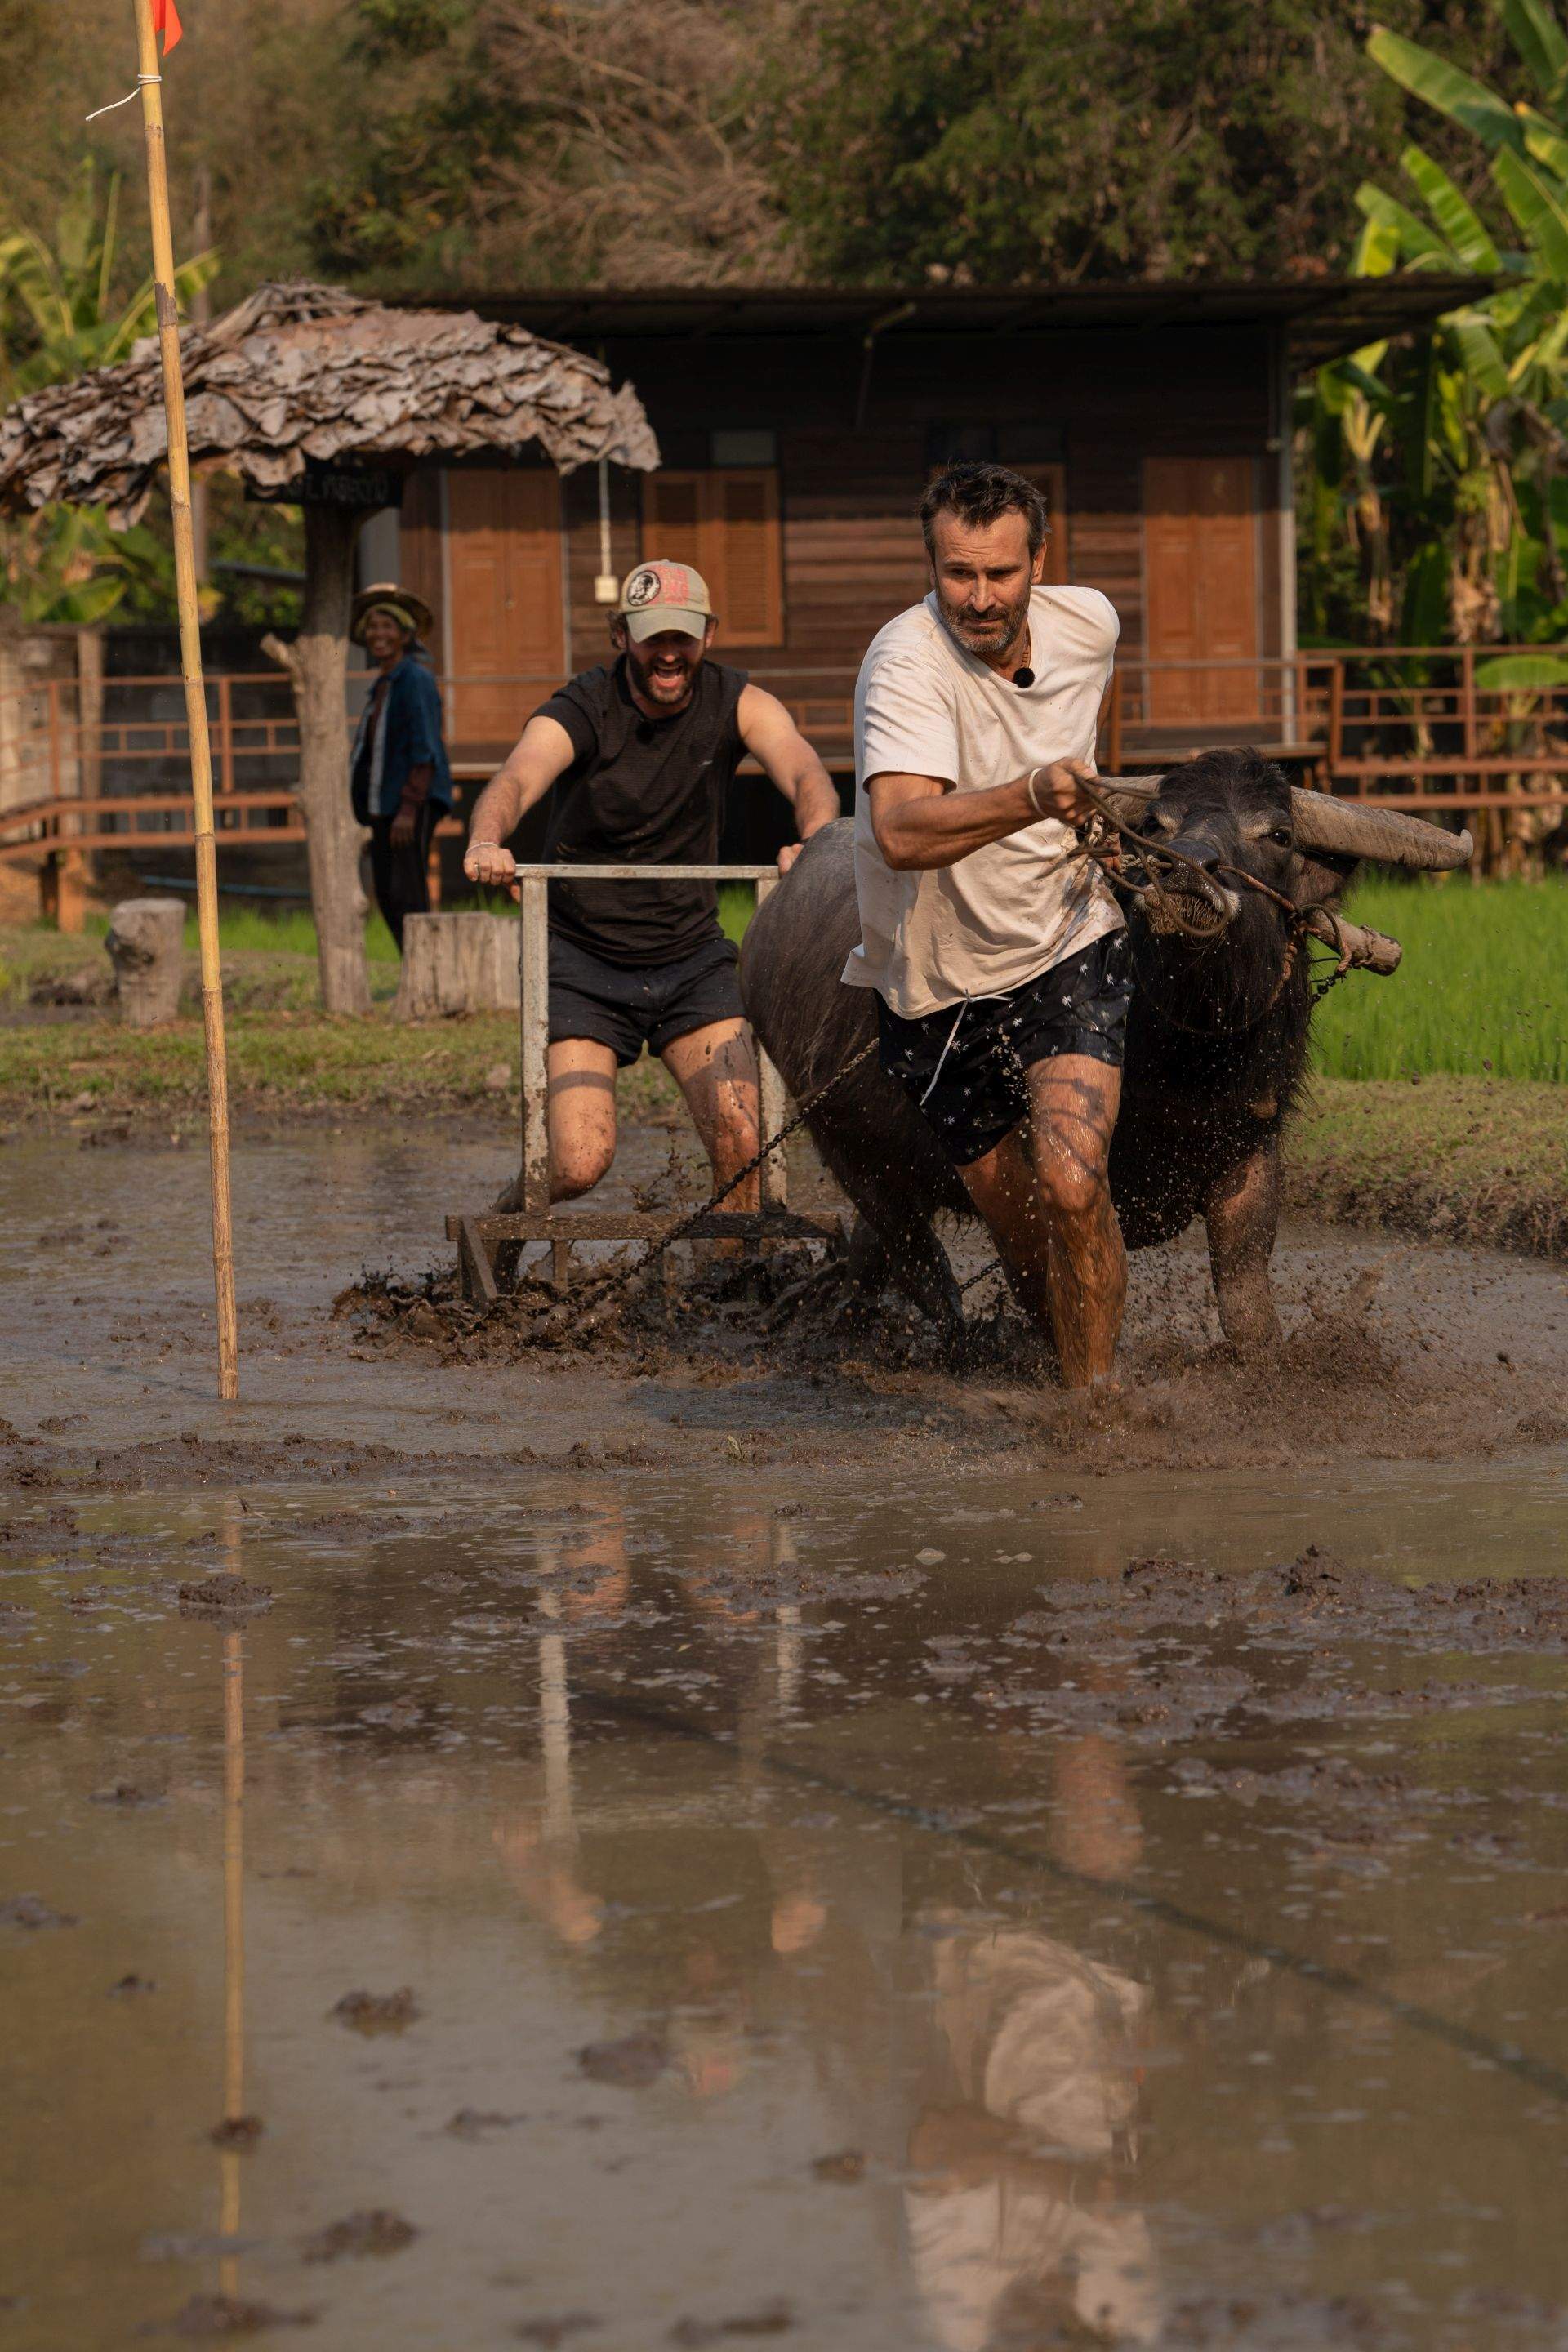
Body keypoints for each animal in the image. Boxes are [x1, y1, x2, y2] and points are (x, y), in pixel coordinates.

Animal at [742, 738, 1476, 1364]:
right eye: (1156, 822)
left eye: (1279, 834)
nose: (1185, 871)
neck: (1187, 1062)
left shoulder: (1249, 1153)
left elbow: (1248, 1311)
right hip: (847, 1148)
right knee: (925, 1270)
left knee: (877, 1255)